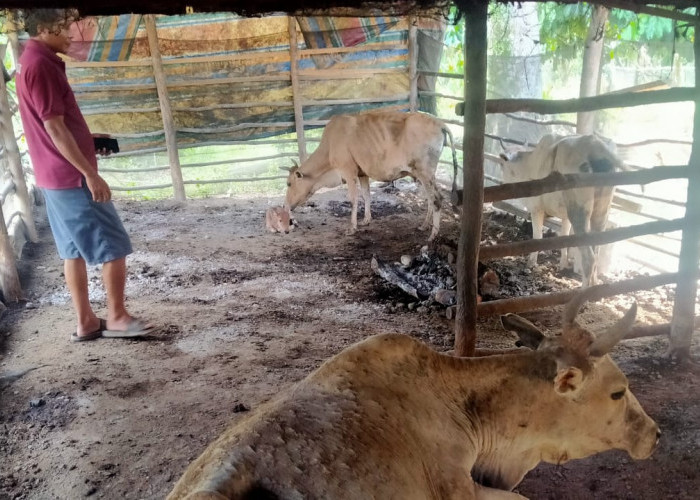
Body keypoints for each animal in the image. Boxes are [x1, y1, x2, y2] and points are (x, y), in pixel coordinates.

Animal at [284, 110, 460, 242]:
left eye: (289, 183)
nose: (286, 206)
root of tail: (440, 122)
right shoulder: (362, 173)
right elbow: (366, 195)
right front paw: (366, 220)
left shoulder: (348, 171)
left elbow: (353, 199)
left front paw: (352, 228)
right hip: (424, 175)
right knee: (430, 199)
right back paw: (424, 226)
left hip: (425, 172)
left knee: (437, 199)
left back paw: (433, 235)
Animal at [498, 135, 624, 288]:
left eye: (502, 164)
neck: (529, 164)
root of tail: (594, 143)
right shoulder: (565, 217)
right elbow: (564, 238)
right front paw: (563, 264)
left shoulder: (536, 209)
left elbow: (537, 236)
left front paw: (531, 263)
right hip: (601, 212)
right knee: (596, 249)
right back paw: (595, 285)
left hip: (578, 210)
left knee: (589, 257)